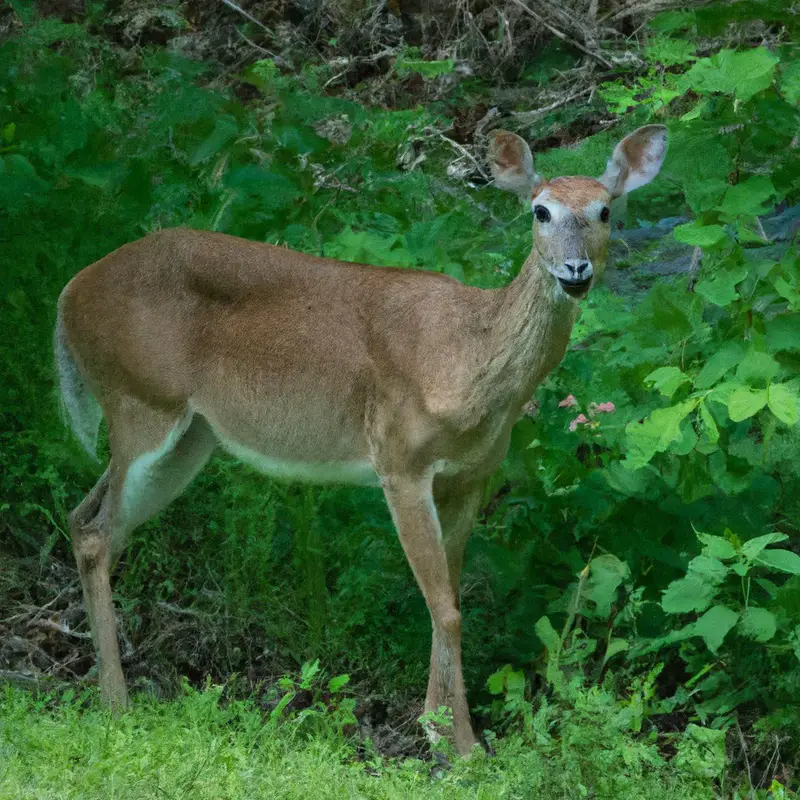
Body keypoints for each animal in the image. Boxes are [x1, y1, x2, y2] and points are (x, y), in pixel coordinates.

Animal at [54, 122, 668, 752]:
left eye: (605, 209)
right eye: (540, 211)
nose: (575, 270)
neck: (467, 363)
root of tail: (68, 294)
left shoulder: (471, 475)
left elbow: (448, 597)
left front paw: (440, 727)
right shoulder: (398, 459)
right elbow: (446, 606)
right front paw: (460, 745)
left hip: (190, 436)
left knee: (87, 520)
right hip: (140, 401)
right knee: (97, 531)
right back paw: (117, 703)